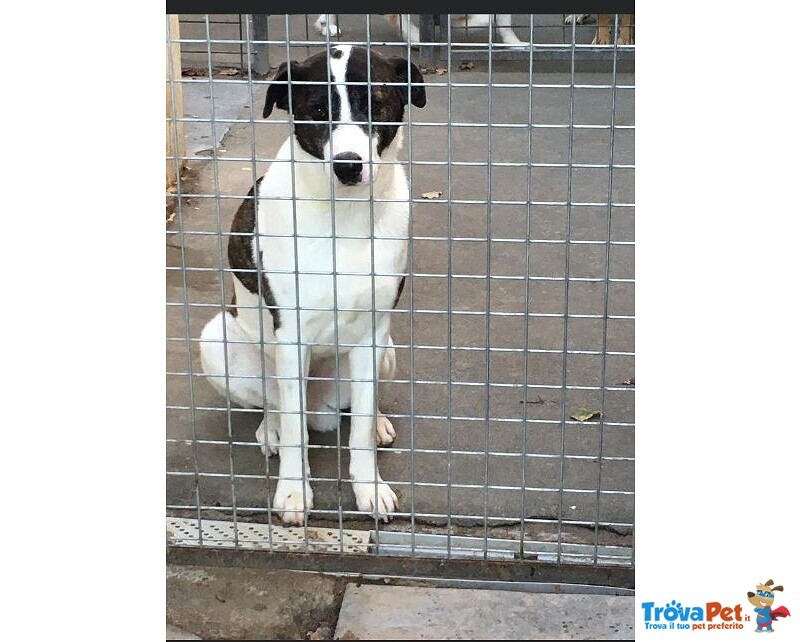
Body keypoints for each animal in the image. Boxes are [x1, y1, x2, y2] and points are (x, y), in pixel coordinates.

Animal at [200, 46, 424, 524]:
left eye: (375, 105)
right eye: (318, 110)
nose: (348, 167)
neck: (344, 216)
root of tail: (321, 405)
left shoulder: (372, 335)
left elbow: (359, 429)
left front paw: (369, 487)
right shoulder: (292, 336)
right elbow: (294, 433)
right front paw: (292, 492)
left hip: (387, 350)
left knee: (358, 407)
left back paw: (378, 421)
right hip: (219, 341)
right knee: (279, 408)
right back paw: (271, 431)